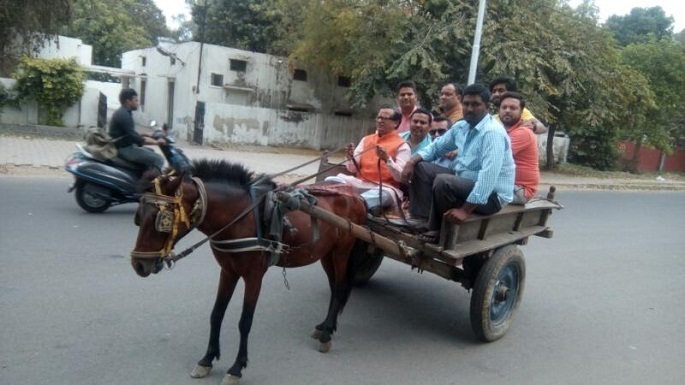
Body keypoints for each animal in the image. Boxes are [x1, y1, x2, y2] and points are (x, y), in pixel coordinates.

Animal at [128, 158, 368, 384]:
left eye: (161, 219)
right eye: (139, 216)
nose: (139, 265)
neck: (241, 216)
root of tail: (356, 197)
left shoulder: (254, 276)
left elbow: (245, 321)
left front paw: (236, 368)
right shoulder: (228, 271)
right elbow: (216, 314)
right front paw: (207, 360)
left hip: (342, 251)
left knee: (340, 288)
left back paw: (327, 335)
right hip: (326, 253)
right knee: (336, 288)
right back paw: (325, 326)